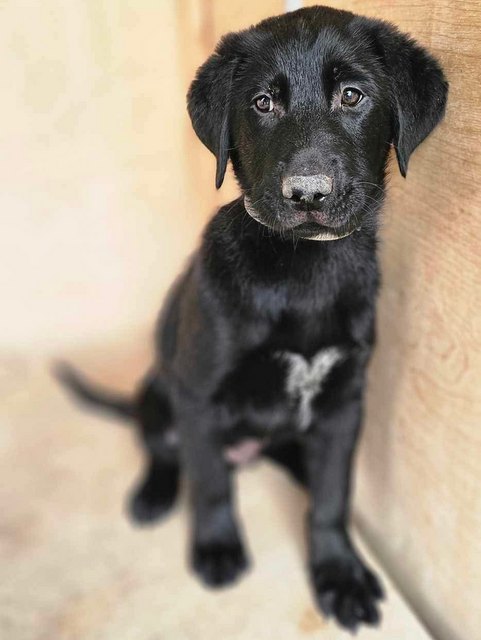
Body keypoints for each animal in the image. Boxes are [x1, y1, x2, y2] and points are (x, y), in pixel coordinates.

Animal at [57, 5, 447, 632]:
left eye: (353, 95)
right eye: (263, 103)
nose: (307, 193)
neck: (305, 269)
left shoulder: (343, 404)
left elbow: (333, 496)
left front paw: (339, 573)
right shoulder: (198, 394)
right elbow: (211, 482)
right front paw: (217, 548)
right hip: (159, 388)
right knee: (162, 446)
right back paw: (155, 493)